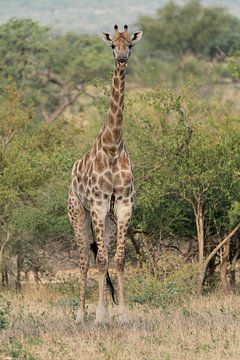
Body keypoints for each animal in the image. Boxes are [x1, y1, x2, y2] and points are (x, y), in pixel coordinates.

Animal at [67, 24, 142, 324]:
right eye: (112, 46)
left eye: (130, 45)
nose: (121, 59)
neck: (112, 146)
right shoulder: (98, 205)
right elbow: (98, 261)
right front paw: (98, 316)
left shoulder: (123, 205)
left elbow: (118, 260)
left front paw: (122, 314)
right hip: (78, 213)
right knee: (84, 260)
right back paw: (80, 316)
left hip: (107, 220)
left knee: (105, 255)